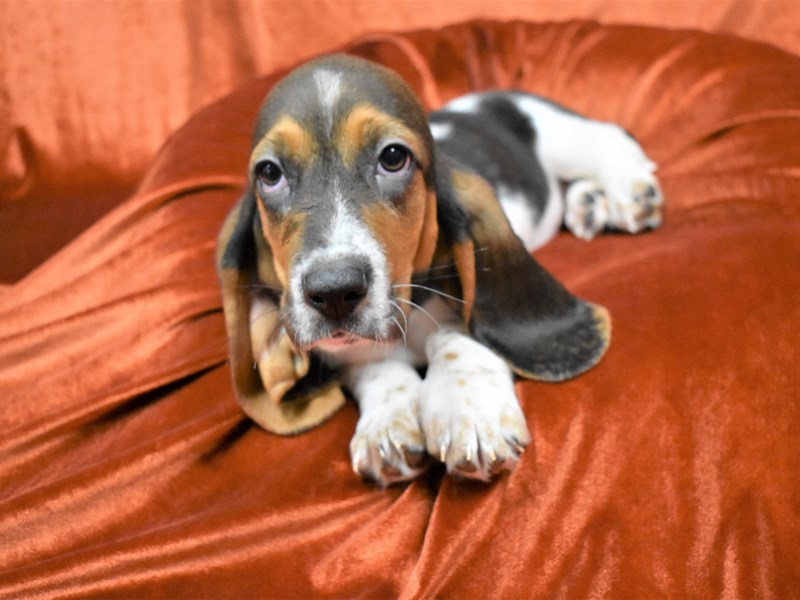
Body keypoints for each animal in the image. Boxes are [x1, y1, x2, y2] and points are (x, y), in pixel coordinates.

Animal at [216, 54, 660, 486]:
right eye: (269, 173)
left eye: (393, 157)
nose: (334, 292)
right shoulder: (348, 350)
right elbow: (373, 363)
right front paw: (386, 424)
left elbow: (458, 336)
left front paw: (471, 412)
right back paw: (588, 205)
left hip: (562, 137)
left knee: (611, 139)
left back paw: (630, 192)